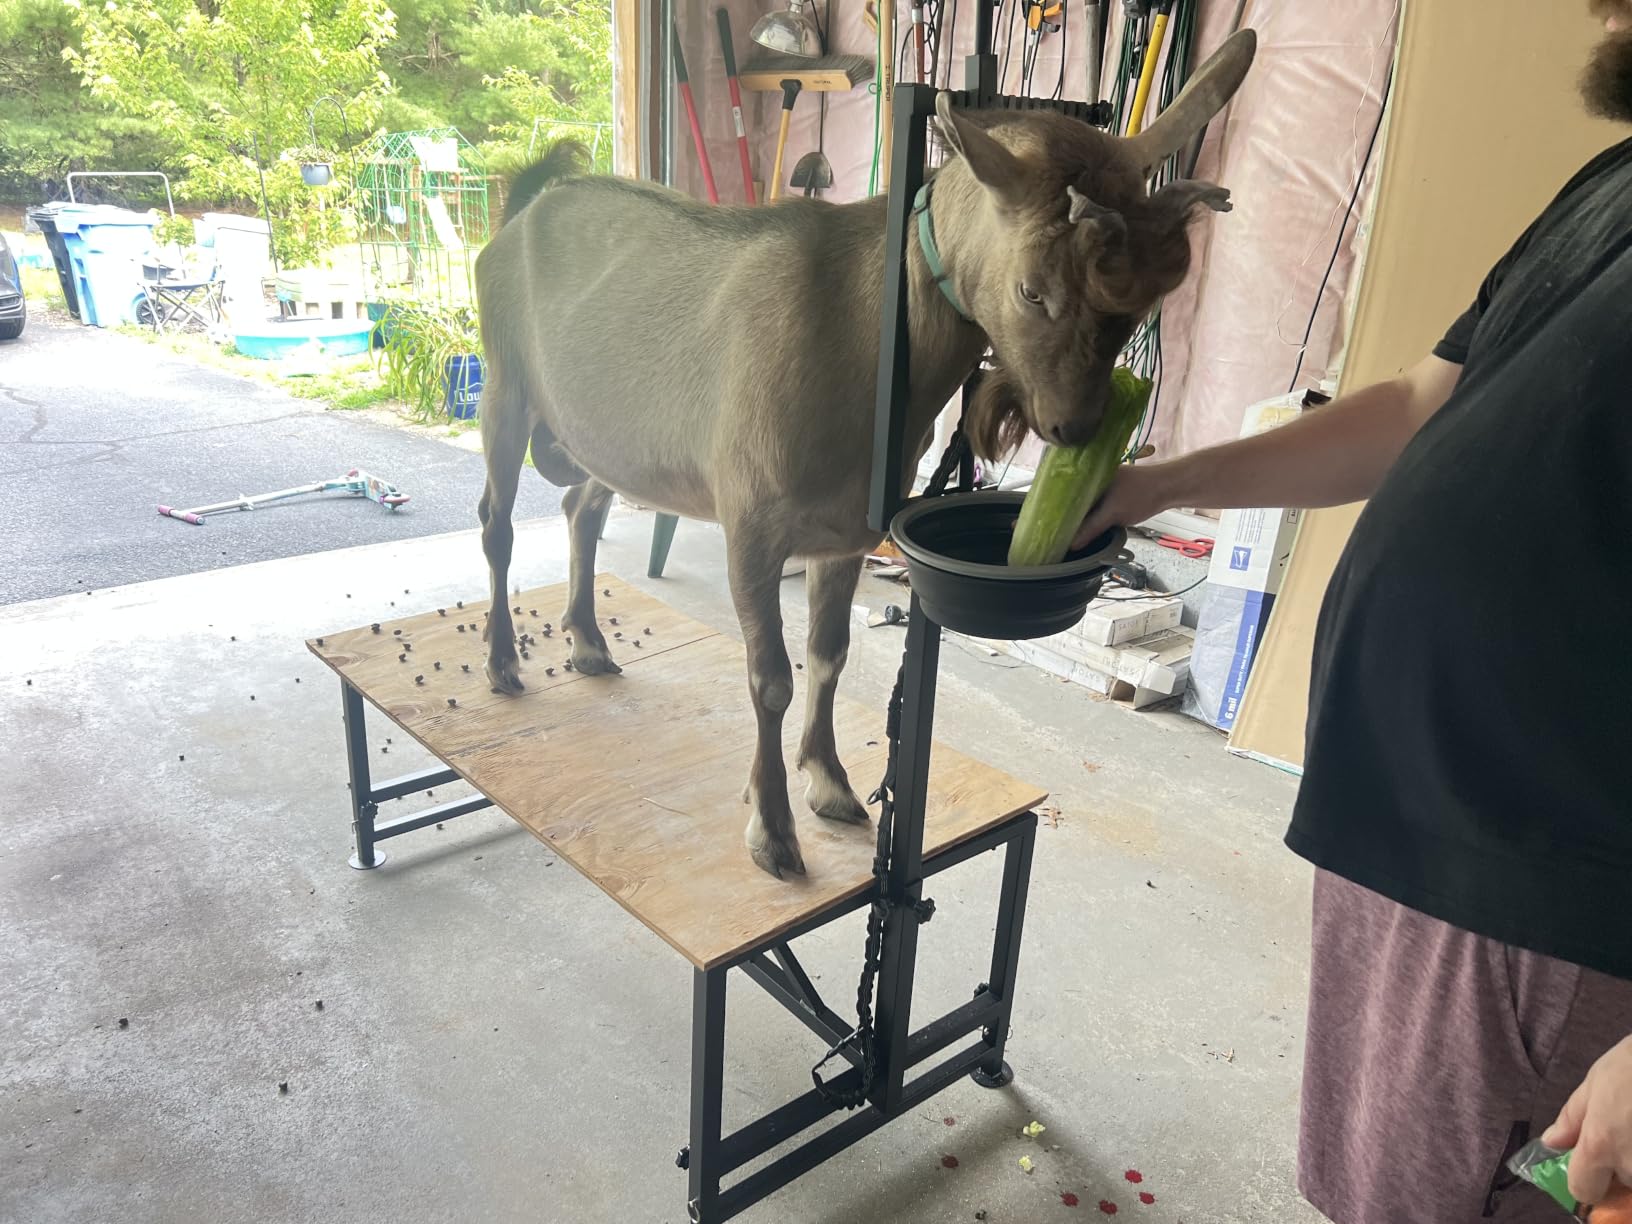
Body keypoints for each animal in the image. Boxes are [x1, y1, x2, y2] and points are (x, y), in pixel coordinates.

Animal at [475, 30, 1255, 878]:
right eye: (1032, 290)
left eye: (1143, 306)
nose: (1074, 426)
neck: (860, 329)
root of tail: (525, 207)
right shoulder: (752, 525)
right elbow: (770, 680)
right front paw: (772, 829)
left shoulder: (844, 530)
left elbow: (830, 656)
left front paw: (831, 785)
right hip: (503, 384)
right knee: (497, 523)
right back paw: (504, 664)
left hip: (602, 438)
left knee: (580, 505)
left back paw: (587, 644)